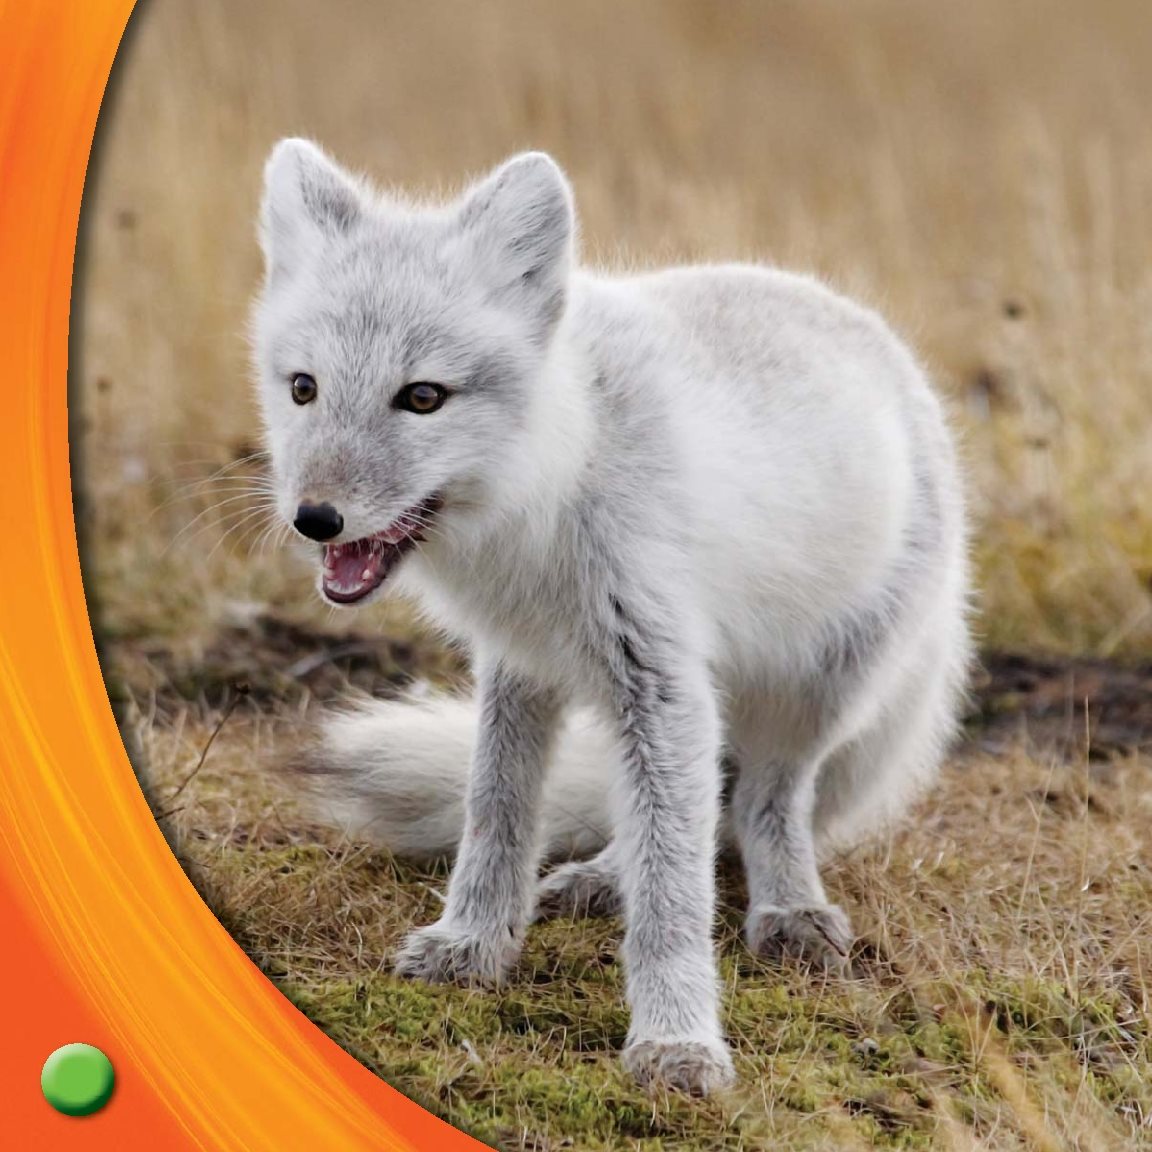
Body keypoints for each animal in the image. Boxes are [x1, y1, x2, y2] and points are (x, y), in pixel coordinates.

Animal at [254, 139, 972, 1092]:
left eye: (422, 398)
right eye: (304, 388)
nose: (314, 520)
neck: (550, 489)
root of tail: (882, 344)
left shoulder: (661, 682)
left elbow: (674, 891)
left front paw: (676, 1040)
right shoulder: (518, 666)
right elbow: (495, 815)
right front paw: (472, 945)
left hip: (813, 697)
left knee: (761, 806)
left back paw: (787, 909)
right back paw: (602, 877)